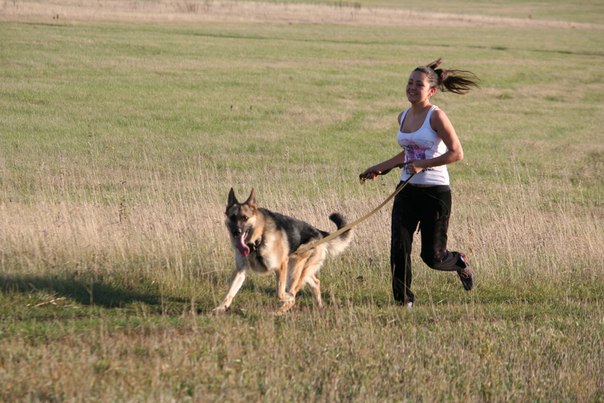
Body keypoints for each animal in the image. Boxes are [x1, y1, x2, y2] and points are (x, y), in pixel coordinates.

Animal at [214, 189, 352, 316]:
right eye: (232, 217)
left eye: (245, 218)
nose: (236, 232)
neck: (258, 239)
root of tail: (320, 232)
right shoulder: (240, 270)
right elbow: (230, 292)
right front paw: (220, 308)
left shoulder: (280, 266)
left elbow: (279, 293)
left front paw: (287, 296)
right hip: (300, 269)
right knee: (316, 282)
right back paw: (319, 306)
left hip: (294, 269)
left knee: (294, 295)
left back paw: (281, 309)